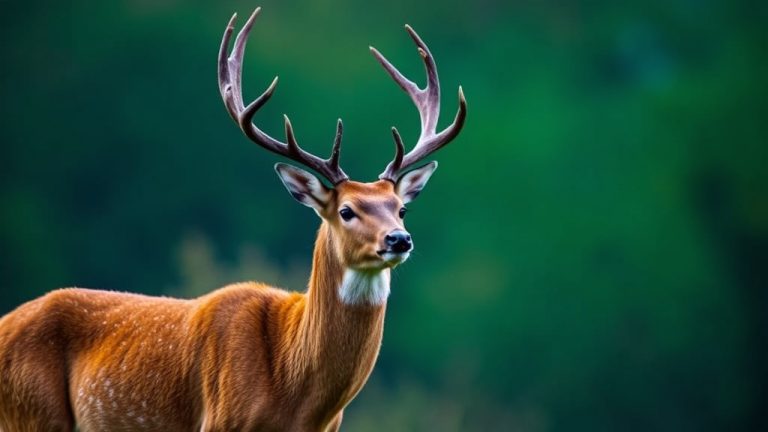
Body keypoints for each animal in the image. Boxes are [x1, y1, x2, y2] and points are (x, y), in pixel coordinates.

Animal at [0, 7, 465, 431]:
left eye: (400, 207)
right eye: (347, 211)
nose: (399, 239)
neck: (293, 393)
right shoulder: (221, 418)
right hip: (32, 412)